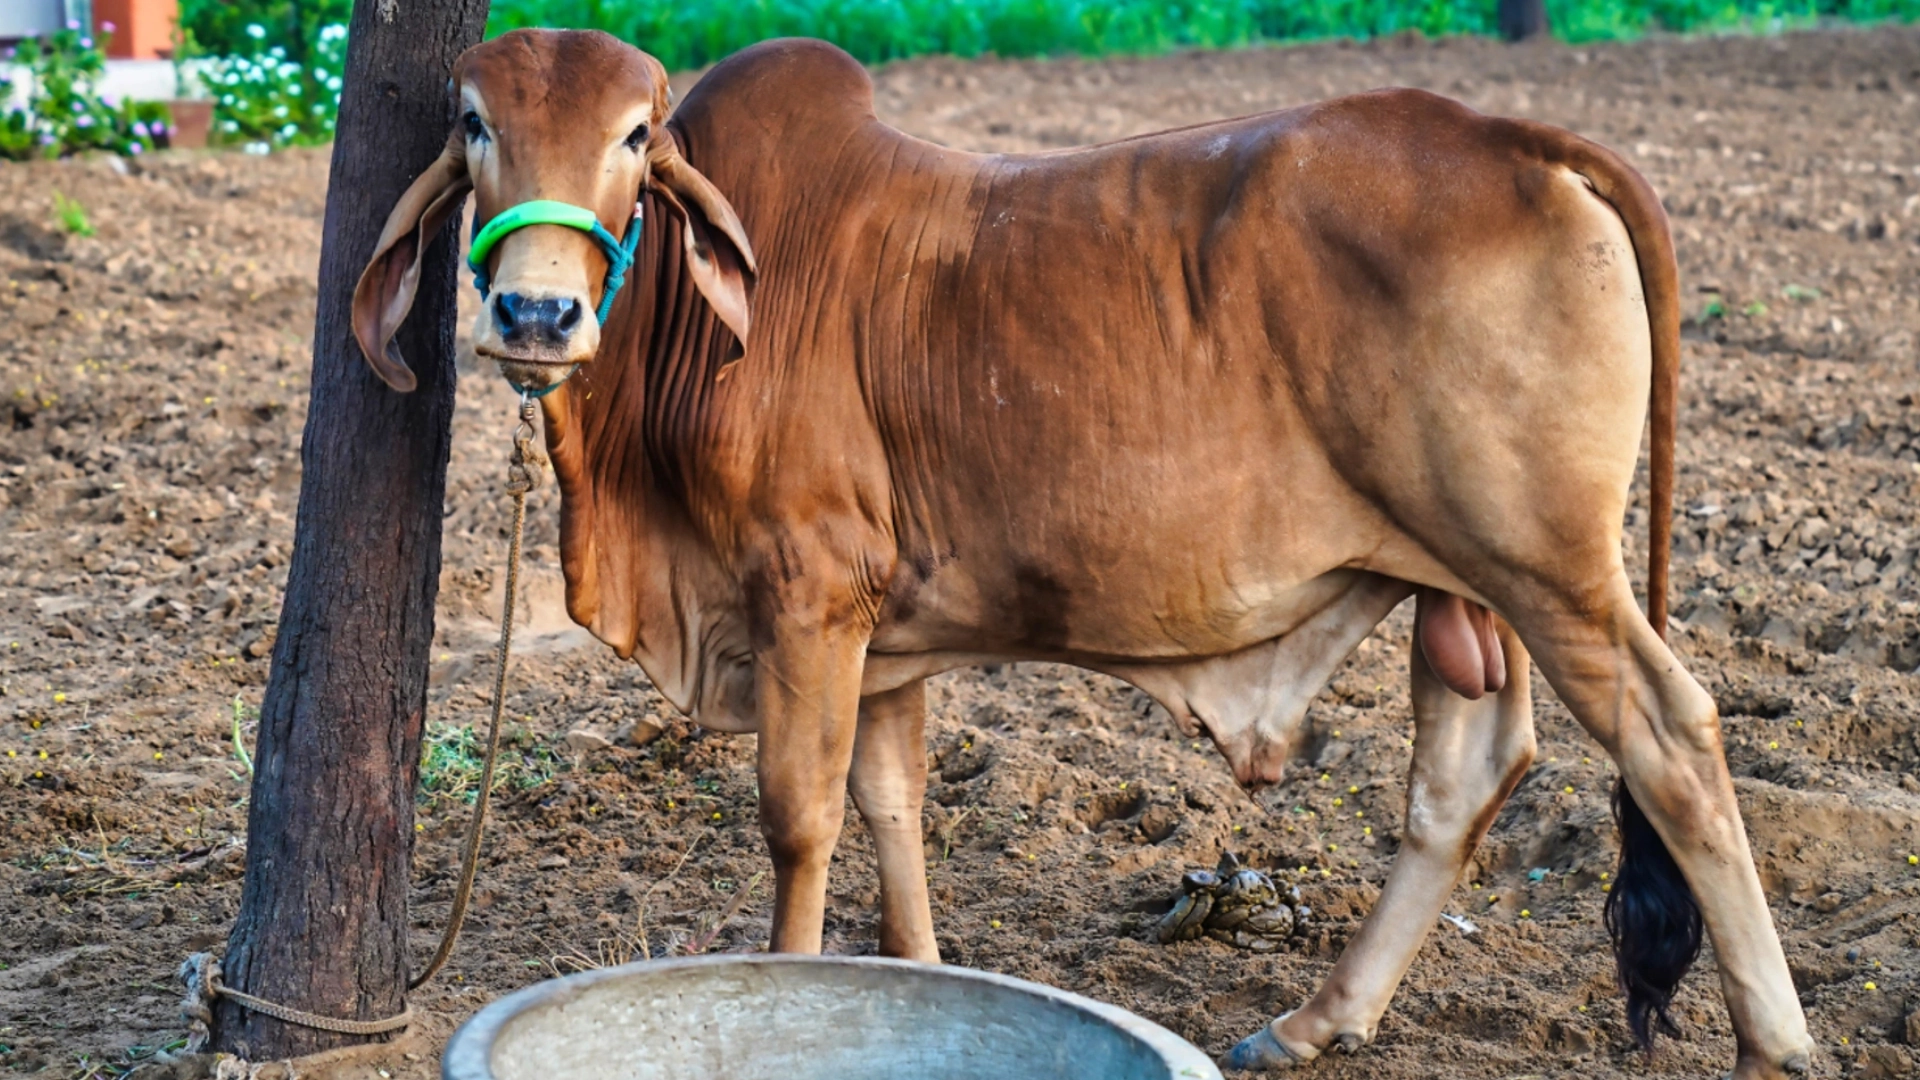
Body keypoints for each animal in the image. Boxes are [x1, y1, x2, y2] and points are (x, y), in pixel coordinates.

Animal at [351, 30, 1812, 1076]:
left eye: (636, 135)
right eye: (474, 123)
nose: (535, 313)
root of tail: (1519, 136)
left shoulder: (808, 593)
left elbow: (801, 818)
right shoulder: (881, 633)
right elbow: (893, 805)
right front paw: (912, 983)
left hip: (1551, 564)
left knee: (1676, 743)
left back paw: (1774, 1044)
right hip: (1463, 585)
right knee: (1466, 775)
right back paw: (1316, 1021)